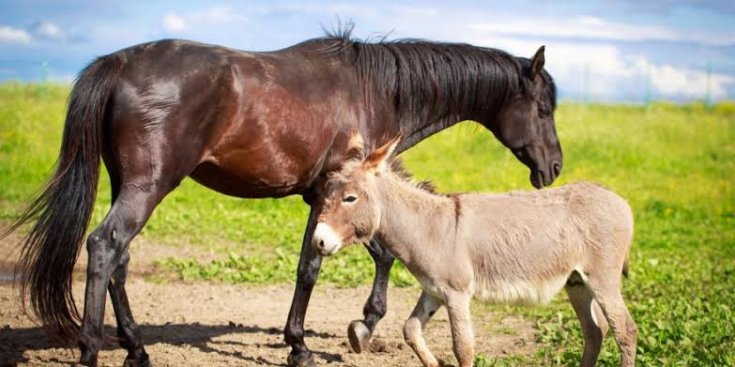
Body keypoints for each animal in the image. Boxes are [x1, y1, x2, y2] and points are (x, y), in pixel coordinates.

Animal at [5, 29, 560, 367]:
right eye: (544, 107)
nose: (553, 168)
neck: (374, 89)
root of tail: (119, 63)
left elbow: (377, 252)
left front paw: (360, 326)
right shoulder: (331, 194)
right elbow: (316, 266)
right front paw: (309, 343)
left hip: (130, 187)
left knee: (119, 258)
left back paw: (137, 349)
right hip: (147, 188)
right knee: (103, 247)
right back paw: (92, 350)